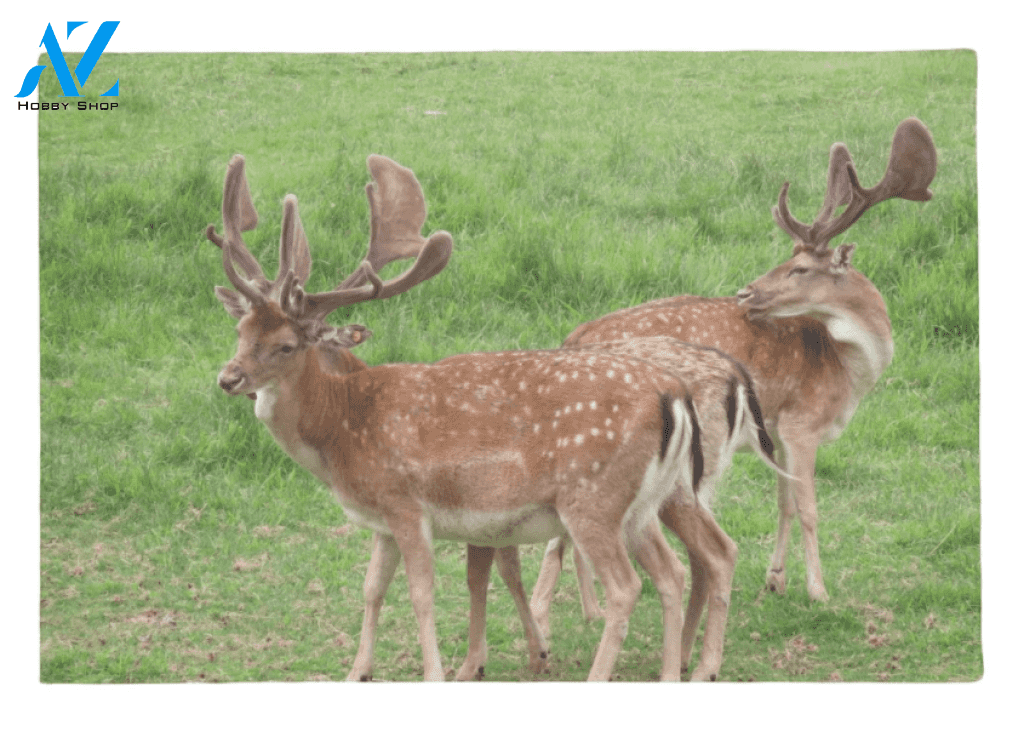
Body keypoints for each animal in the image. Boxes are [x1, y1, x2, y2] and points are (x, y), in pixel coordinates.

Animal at [206, 153, 709, 681]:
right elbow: (372, 588)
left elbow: (421, 594)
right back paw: (671, 673)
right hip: (641, 505)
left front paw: (435, 673)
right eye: (240, 329)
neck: (343, 432)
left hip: (592, 495)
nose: (228, 378)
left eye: (286, 345)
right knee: (672, 572)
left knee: (627, 587)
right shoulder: (382, 521)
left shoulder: (404, 501)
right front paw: (357, 671)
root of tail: (673, 393)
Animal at [530, 116, 937, 642]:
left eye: (799, 266)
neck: (847, 370)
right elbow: (809, 507)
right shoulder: (803, 422)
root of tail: (573, 337)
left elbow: (785, 503)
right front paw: (819, 591)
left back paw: (591, 611)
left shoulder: (780, 433)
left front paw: (776, 580)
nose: (746, 292)